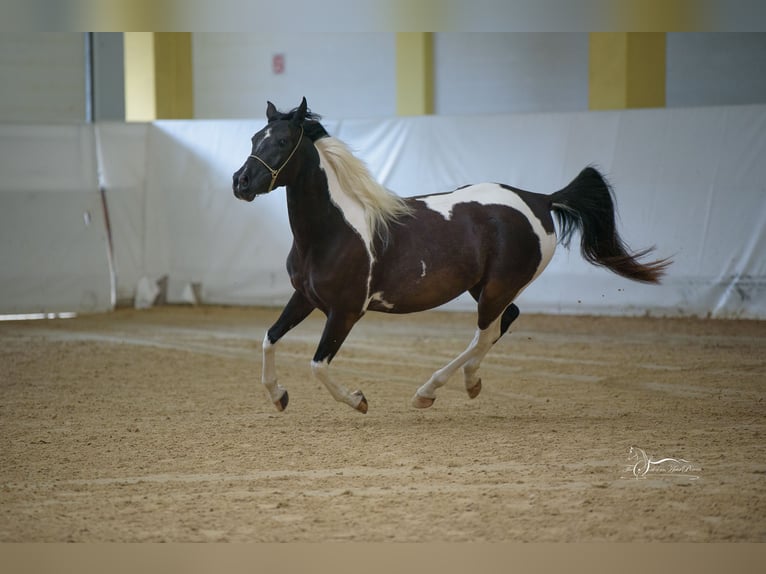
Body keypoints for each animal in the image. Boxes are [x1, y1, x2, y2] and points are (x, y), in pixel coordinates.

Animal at [234, 98, 672, 414]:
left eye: (282, 141)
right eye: (255, 137)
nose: (241, 182)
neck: (333, 230)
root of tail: (539, 199)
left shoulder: (346, 311)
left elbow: (318, 364)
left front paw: (358, 401)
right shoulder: (305, 297)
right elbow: (269, 339)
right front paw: (278, 396)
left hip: (497, 288)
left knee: (486, 333)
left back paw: (428, 391)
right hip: (485, 287)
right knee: (503, 323)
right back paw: (467, 383)